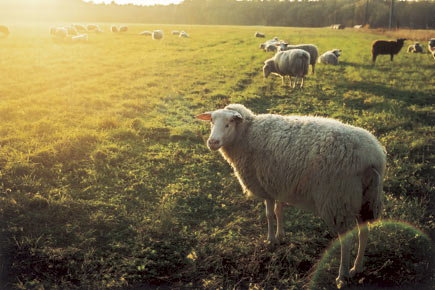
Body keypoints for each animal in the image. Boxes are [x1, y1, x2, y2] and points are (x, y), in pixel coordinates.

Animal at [196, 103, 386, 288]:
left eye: (229, 122)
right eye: (211, 121)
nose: (212, 142)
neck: (247, 133)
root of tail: (373, 157)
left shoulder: (265, 187)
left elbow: (269, 214)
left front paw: (270, 240)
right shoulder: (278, 184)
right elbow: (279, 211)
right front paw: (280, 236)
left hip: (338, 200)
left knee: (345, 240)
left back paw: (342, 276)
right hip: (364, 200)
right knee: (363, 232)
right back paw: (357, 268)